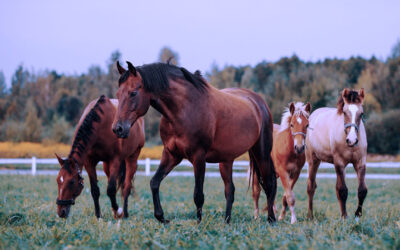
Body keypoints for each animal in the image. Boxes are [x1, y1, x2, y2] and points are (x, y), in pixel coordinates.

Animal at [111, 60, 276, 223]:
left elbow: (198, 195)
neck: (184, 109)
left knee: (269, 184)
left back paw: (271, 219)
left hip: (261, 153)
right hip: (226, 160)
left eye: (133, 93)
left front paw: (199, 223)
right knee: (230, 190)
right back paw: (227, 221)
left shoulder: (198, 156)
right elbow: (154, 182)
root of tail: (258, 102)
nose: (118, 128)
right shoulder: (171, 154)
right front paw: (161, 217)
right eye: (118, 94)